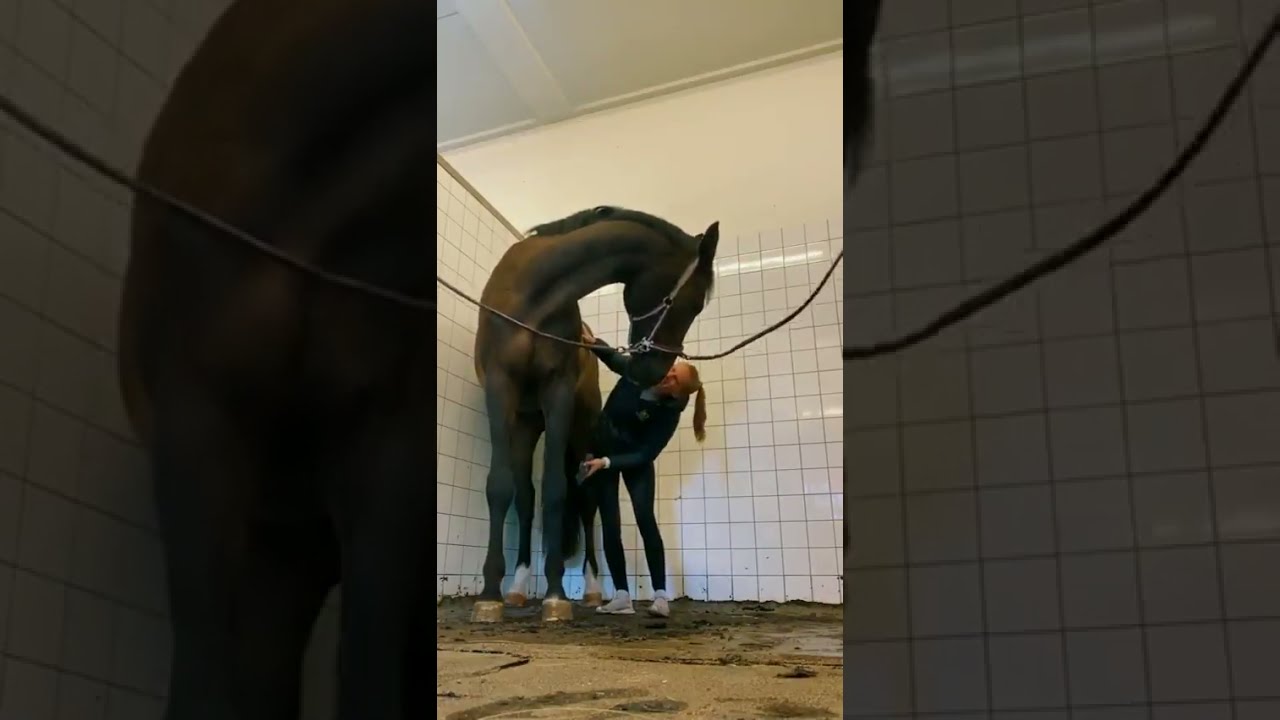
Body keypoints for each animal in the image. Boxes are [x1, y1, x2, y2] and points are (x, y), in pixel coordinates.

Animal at [472, 206, 719, 622]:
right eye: (694, 302)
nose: (653, 372)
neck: (533, 297)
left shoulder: (557, 393)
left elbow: (556, 490)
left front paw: (555, 595)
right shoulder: (499, 387)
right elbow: (500, 487)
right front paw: (490, 595)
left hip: (578, 428)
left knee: (585, 505)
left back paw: (589, 589)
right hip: (525, 425)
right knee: (525, 498)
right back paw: (518, 588)